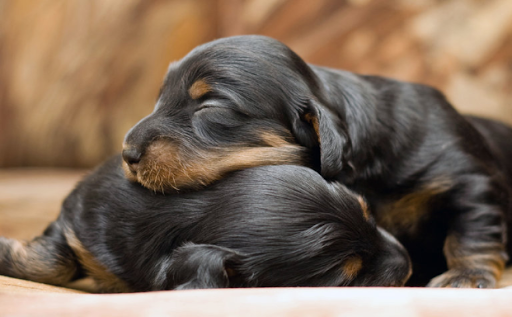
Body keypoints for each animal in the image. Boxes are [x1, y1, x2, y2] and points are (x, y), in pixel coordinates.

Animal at [123, 35, 512, 288]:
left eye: (210, 105)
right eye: (159, 100)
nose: (127, 154)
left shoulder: (469, 181)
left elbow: (471, 232)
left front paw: (466, 276)